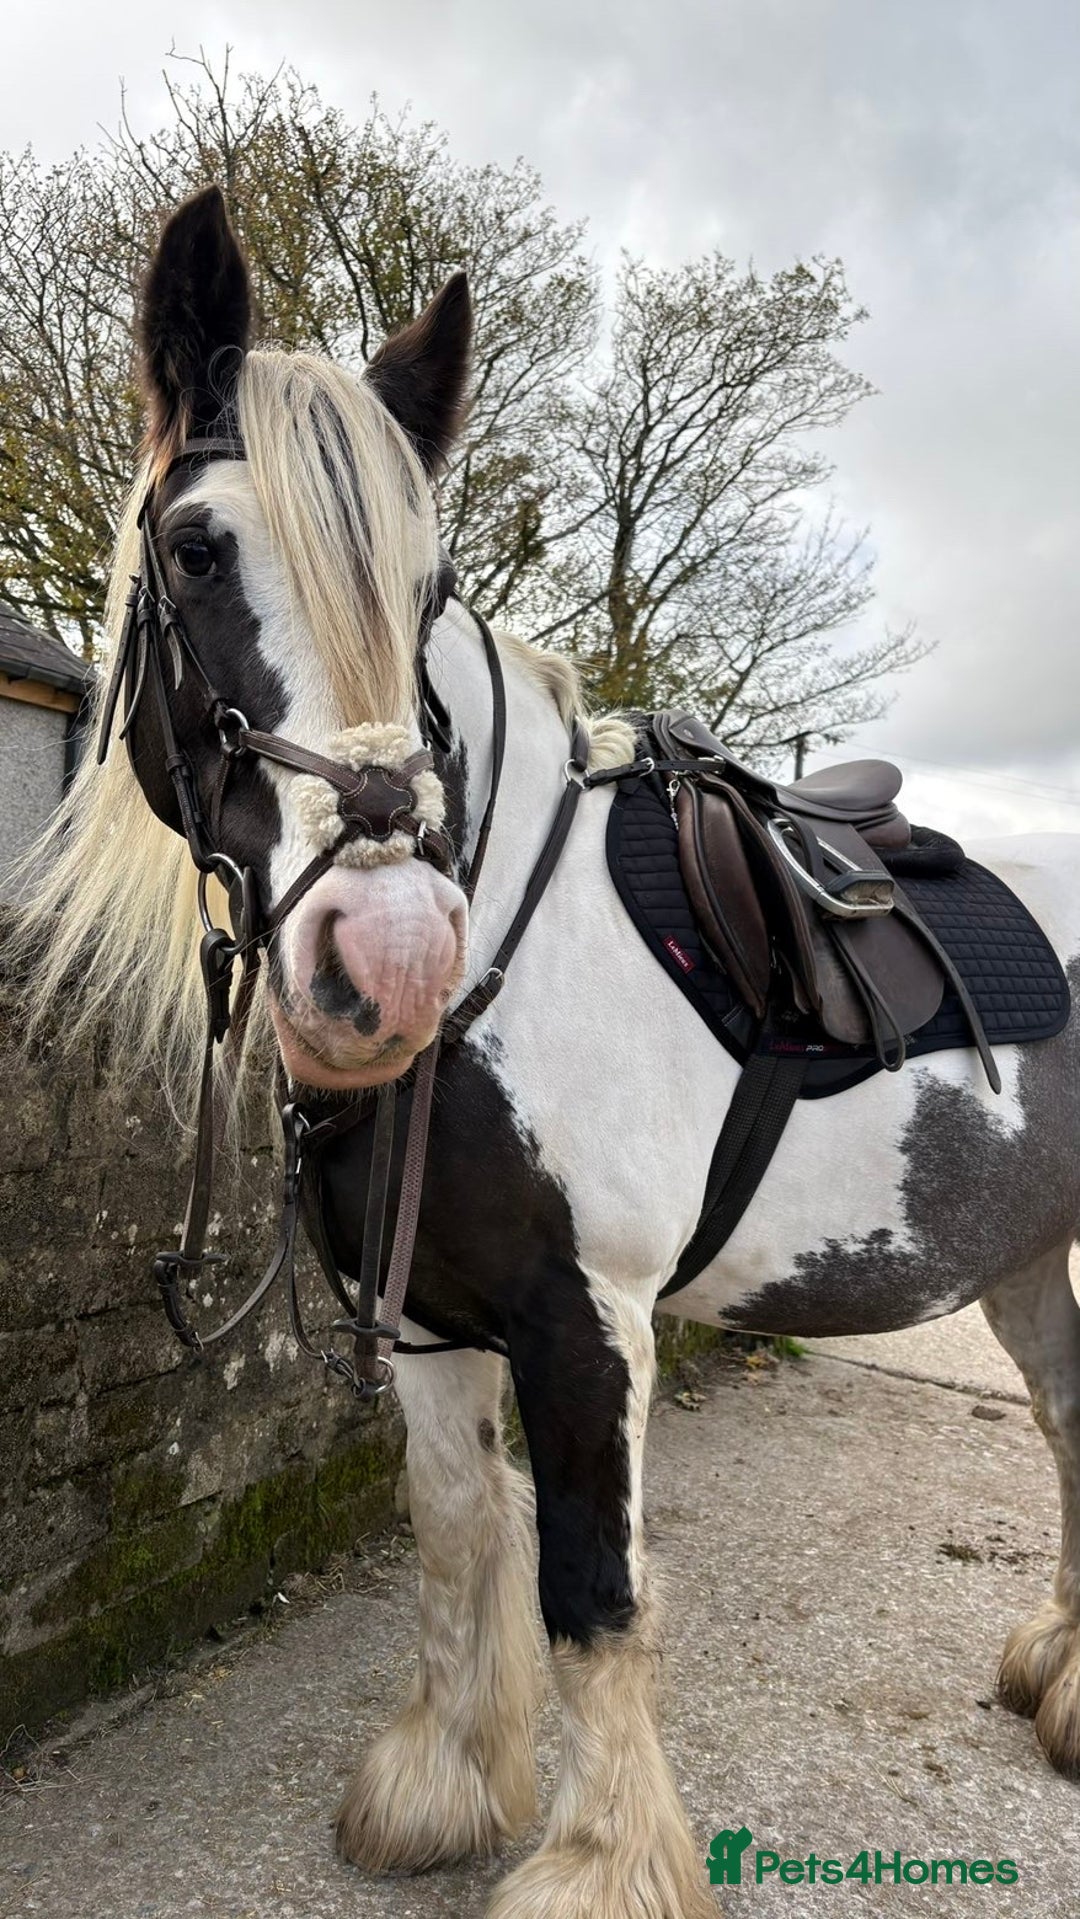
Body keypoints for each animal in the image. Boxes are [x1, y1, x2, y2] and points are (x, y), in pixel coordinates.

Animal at [14, 184, 1080, 1919]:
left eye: (426, 593)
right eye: (195, 548)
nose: (388, 956)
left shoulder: (591, 1327)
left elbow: (591, 1590)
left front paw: (598, 1861)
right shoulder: (432, 1321)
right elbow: (459, 1532)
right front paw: (443, 1789)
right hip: (1028, 1252)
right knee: (1067, 1419)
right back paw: (1059, 1669)